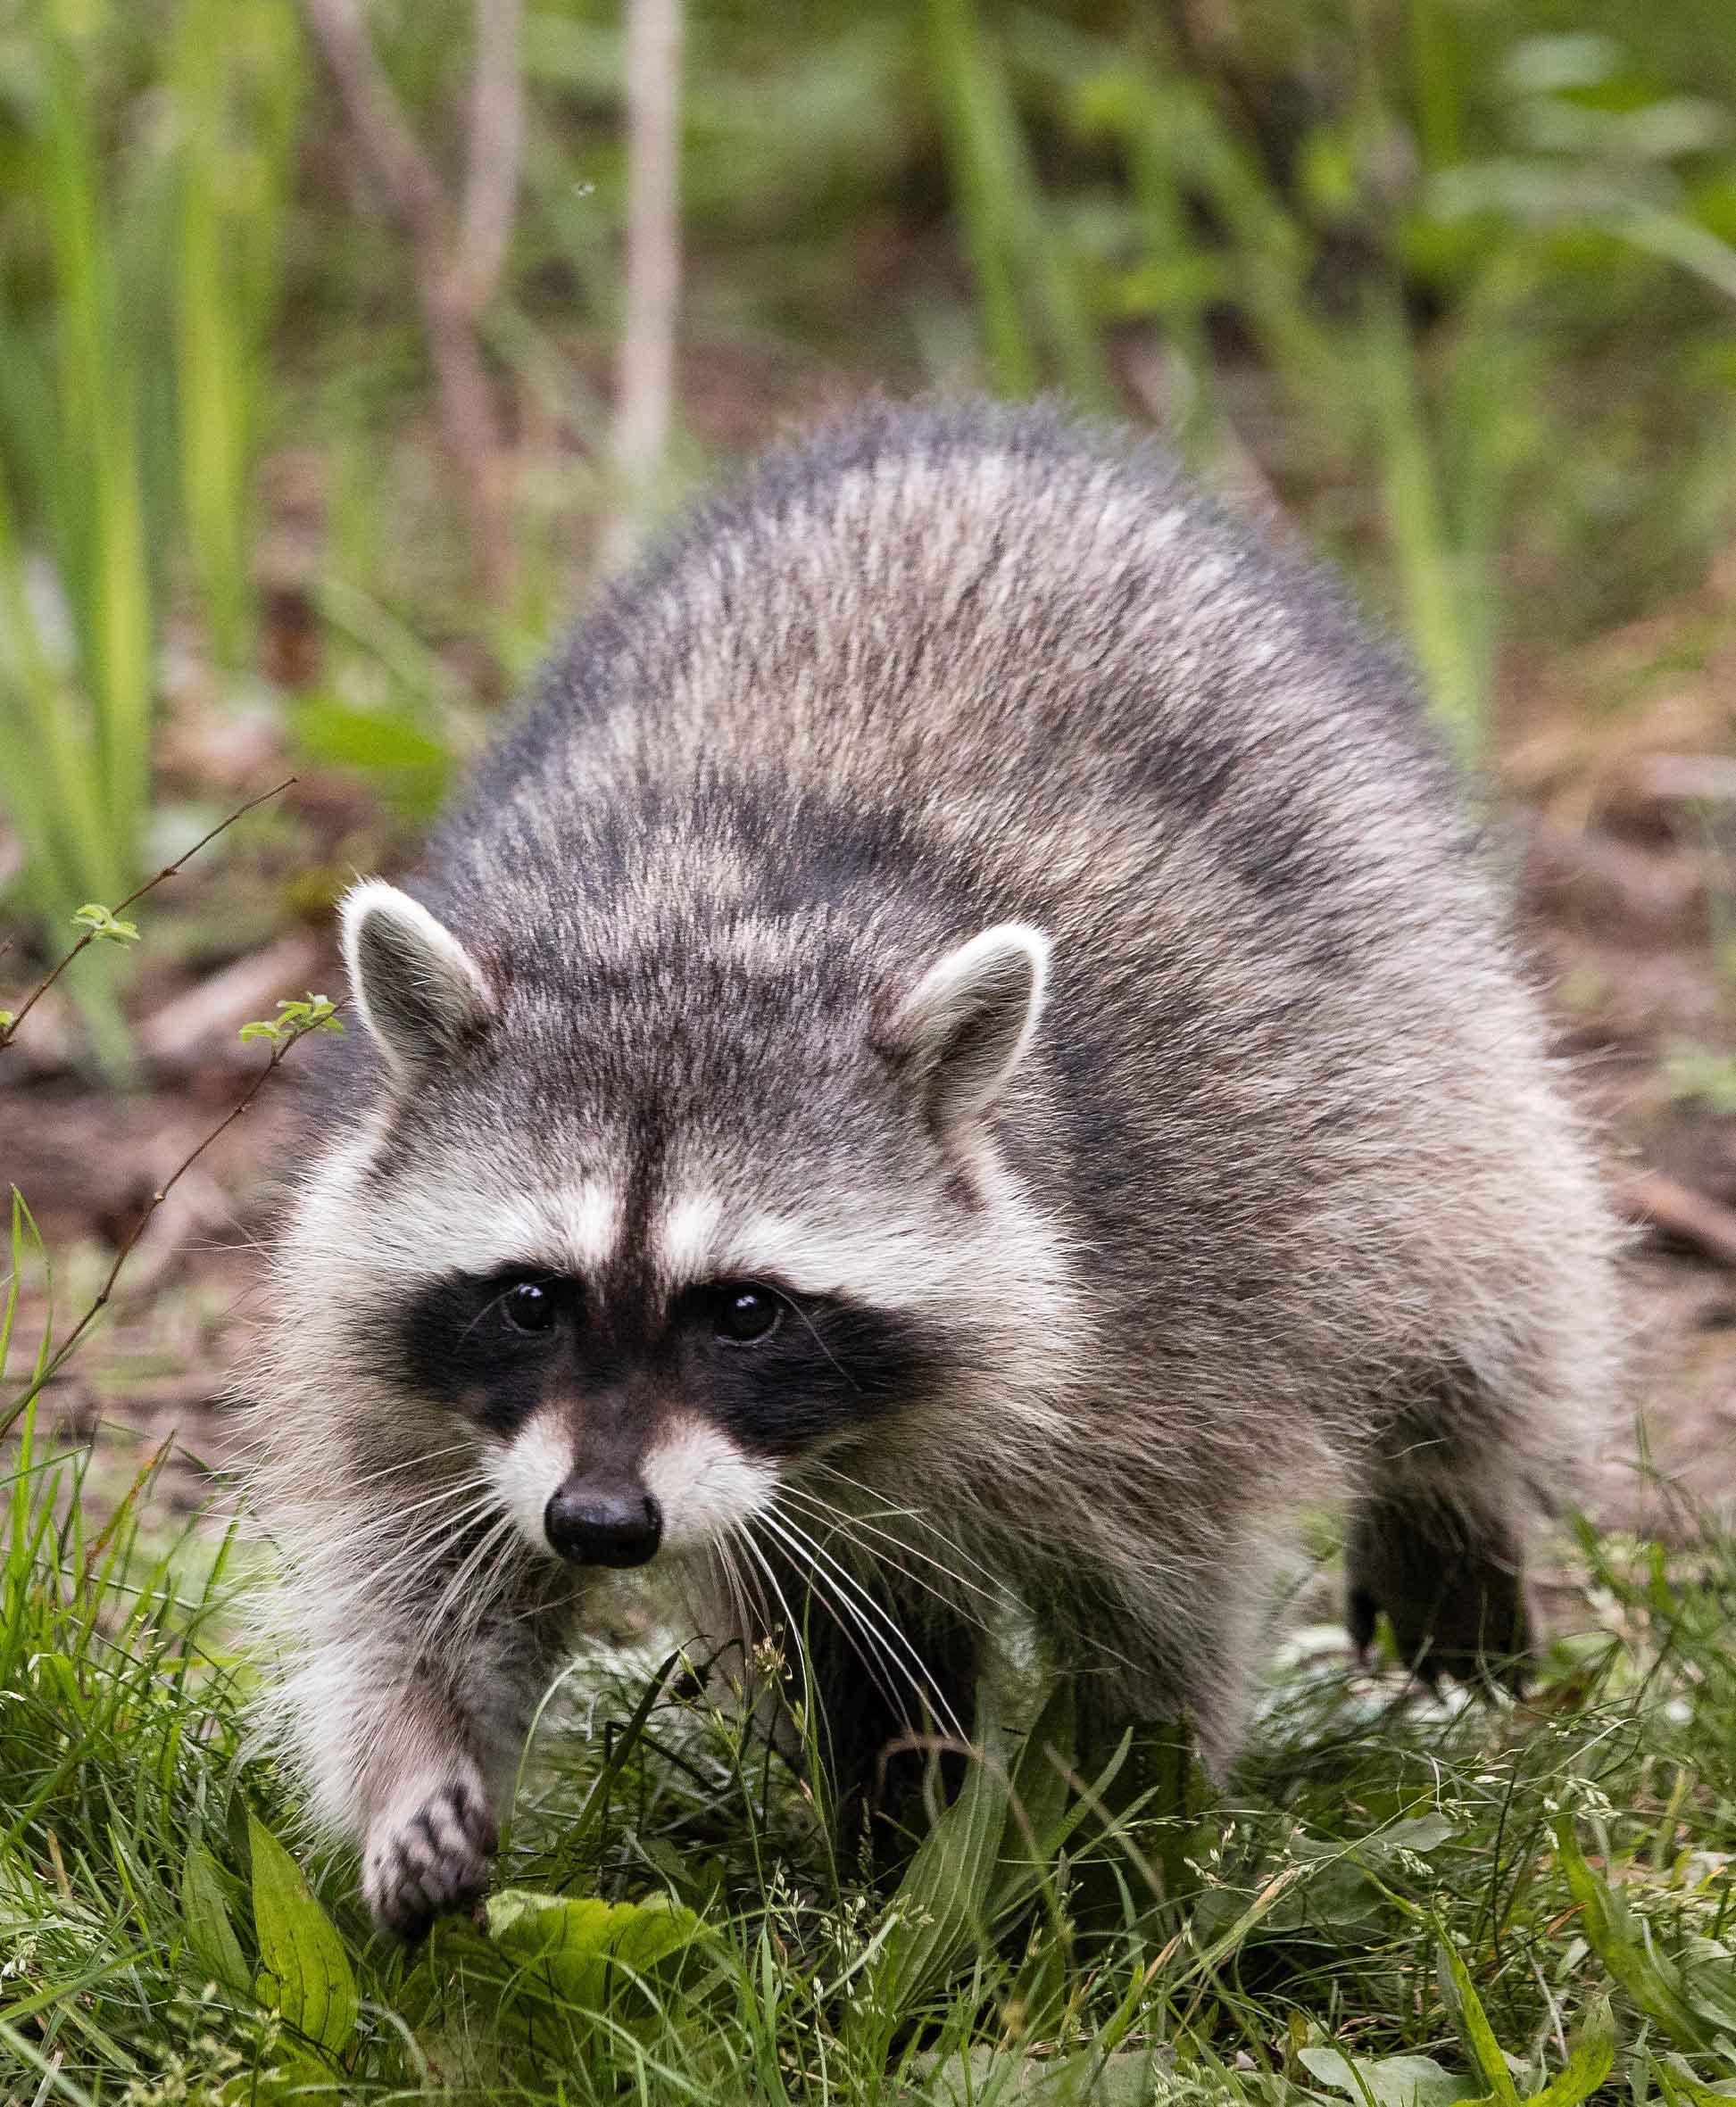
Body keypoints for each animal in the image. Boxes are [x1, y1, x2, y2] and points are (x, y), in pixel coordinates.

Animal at [250, 398, 1617, 1938]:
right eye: (532, 1297)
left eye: (745, 1308)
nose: (599, 1523)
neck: (699, 928)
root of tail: (990, 432)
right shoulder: (406, 1357)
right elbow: (417, 1579)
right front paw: (414, 1765)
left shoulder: (1182, 1291)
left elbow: (1159, 1625)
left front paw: (1115, 1851)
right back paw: (885, 1801)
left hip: (1402, 999)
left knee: (1488, 1263)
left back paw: (1453, 1492)